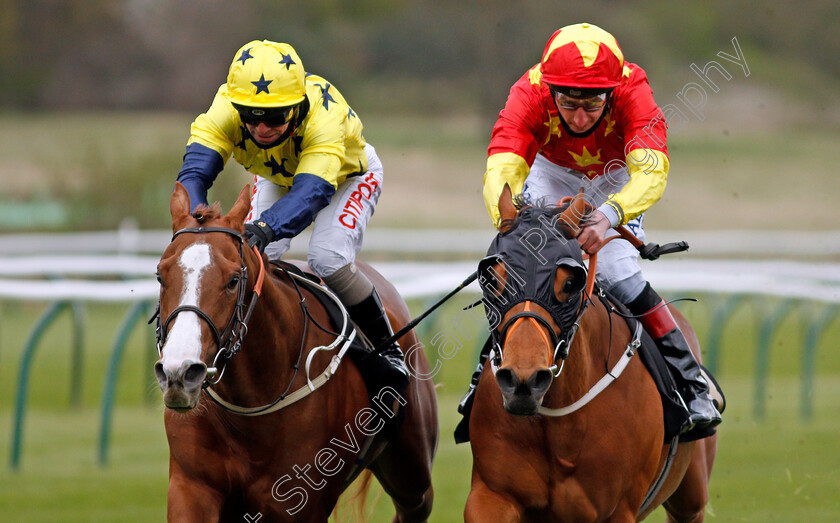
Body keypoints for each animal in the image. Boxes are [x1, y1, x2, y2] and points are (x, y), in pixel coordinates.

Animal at [153, 182, 440, 520]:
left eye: (233, 280)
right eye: (160, 275)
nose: (180, 372)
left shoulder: (300, 504)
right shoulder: (192, 488)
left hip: (412, 470)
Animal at [466, 186, 716, 520]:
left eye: (570, 283)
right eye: (492, 279)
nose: (523, 381)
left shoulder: (619, 509)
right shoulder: (491, 495)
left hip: (691, 496)